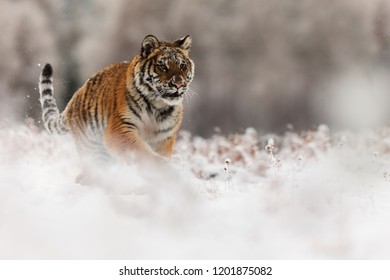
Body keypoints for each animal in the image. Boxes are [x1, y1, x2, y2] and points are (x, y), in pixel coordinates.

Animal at [39, 34, 195, 176]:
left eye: (183, 66)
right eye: (162, 66)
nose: (179, 83)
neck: (158, 106)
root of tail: (73, 100)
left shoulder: (163, 137)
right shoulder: (120, 128)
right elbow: (139, 151)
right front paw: (161, 167)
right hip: (93, 149)